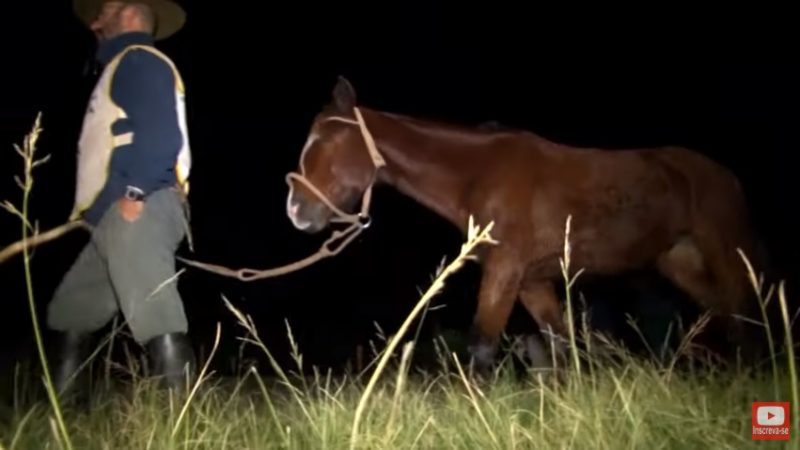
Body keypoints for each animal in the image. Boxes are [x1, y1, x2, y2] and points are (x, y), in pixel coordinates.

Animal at [284, 76, 765, 374]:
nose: (295, 210)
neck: (480, 175)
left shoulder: (505, 270)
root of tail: (726, 175)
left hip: (725, 253)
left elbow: (482, 345)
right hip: (679, 261)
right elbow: (560, 345)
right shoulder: (531, 281)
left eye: (327, 140)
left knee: (743, 312)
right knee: (724, 312)